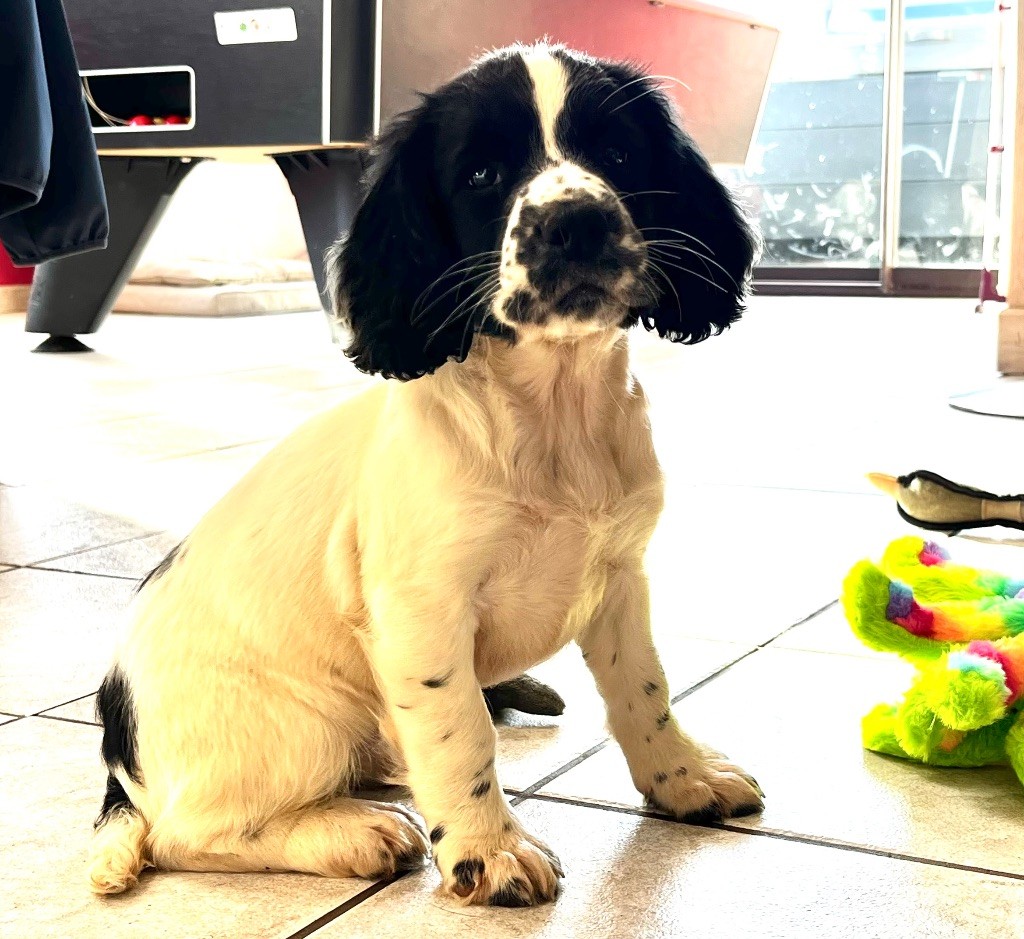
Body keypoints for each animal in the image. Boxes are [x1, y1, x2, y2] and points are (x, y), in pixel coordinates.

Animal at [88, 42, 761, 907]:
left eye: (615, 154)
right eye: (481, 173)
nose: (576, 221)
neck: (552, 418)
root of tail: (118, 740)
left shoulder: (619, 579)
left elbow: (645, 690)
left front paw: (683, 778)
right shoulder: (424, 610)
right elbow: (460, 732)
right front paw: (488, 849)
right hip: (300, 725)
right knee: (189, 831)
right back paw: (353, 831)